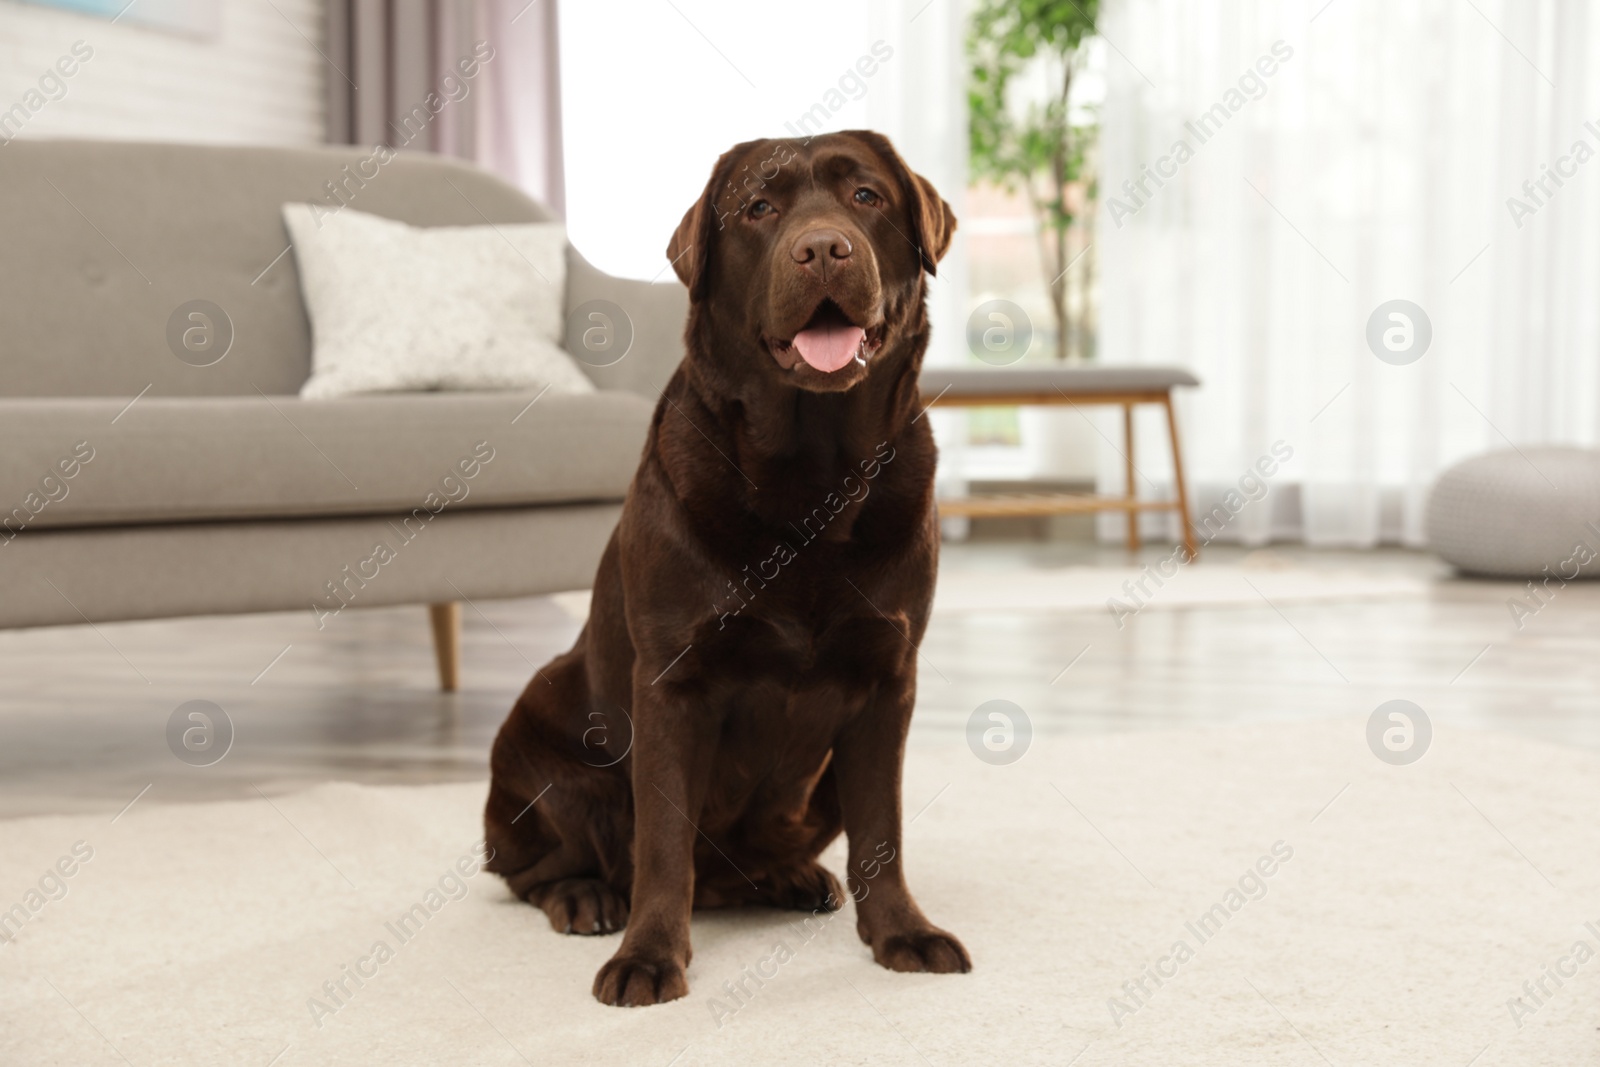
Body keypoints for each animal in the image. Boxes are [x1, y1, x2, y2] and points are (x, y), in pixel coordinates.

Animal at [480, 129, 966, 1004]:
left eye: (867, 197)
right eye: (759, 208)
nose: (823, 247)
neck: (813, 479)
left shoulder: (889, 677)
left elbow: (883, 829)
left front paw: (902, 933)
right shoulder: (674, 682)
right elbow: (663, 840)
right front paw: (647, 956)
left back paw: (792, 876)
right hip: (538, 735)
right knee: (541, 867)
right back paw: (585, 897)